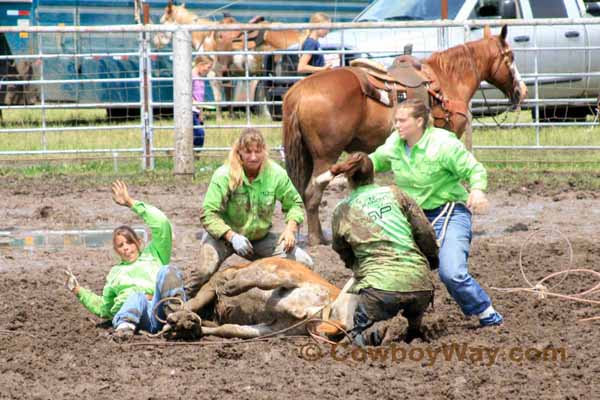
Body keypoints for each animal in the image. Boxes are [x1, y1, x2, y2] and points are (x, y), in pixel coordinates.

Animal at [284, 25, 528, 244]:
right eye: (511, 57)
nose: (522, 91)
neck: (447, 81)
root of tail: (300, 91)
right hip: (325, 156)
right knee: (312, 193)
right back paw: (317, 239)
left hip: (308, 156)